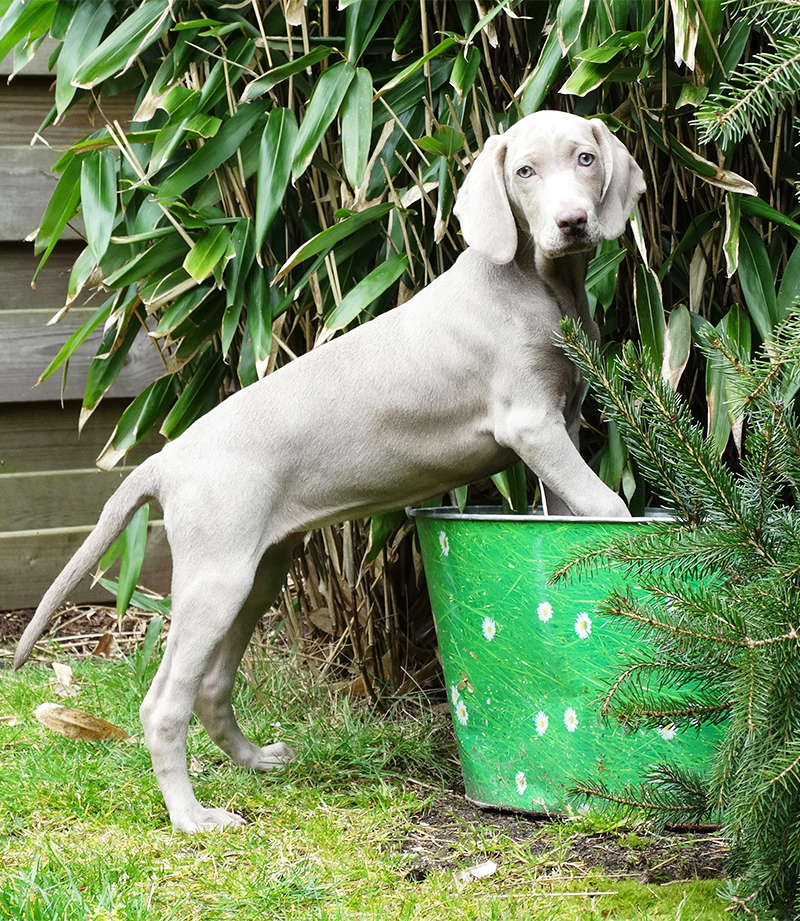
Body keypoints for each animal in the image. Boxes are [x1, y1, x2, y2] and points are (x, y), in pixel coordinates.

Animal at [15, 109, 648, 832]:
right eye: (524, 172)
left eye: (585, 159)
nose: (573, 222)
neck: (538, 282)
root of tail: (168, 456)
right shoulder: (531, 424)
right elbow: (609, 507)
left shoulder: (562, 424)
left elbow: (572, 512)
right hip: (215, 578)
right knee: (162, 705)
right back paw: (191, 817)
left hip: (259, 572)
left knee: (210, 684)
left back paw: (256, 761)